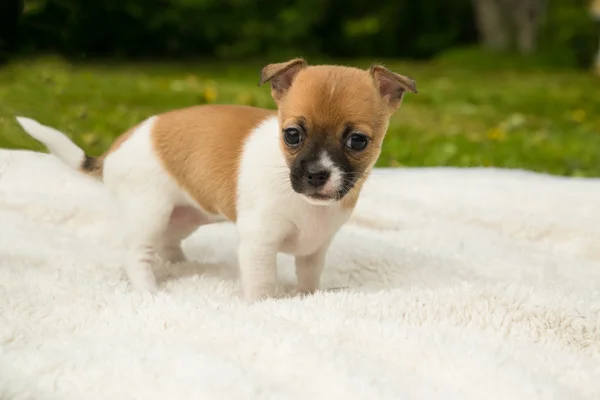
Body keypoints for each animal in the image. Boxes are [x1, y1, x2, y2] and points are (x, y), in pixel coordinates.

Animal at [15, 59, 418, 302]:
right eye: (291, 135)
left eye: (358, 142)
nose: (317, 174)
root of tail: (116, 147)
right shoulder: (259, 246)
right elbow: (261, 286)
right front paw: (267, 309)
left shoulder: (314, 249)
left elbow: (308, 279)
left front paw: (307, 301)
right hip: (149, 211)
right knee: (137, 254)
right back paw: (150, 294)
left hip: (186, 215)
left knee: (169, 242)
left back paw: (182, 265)